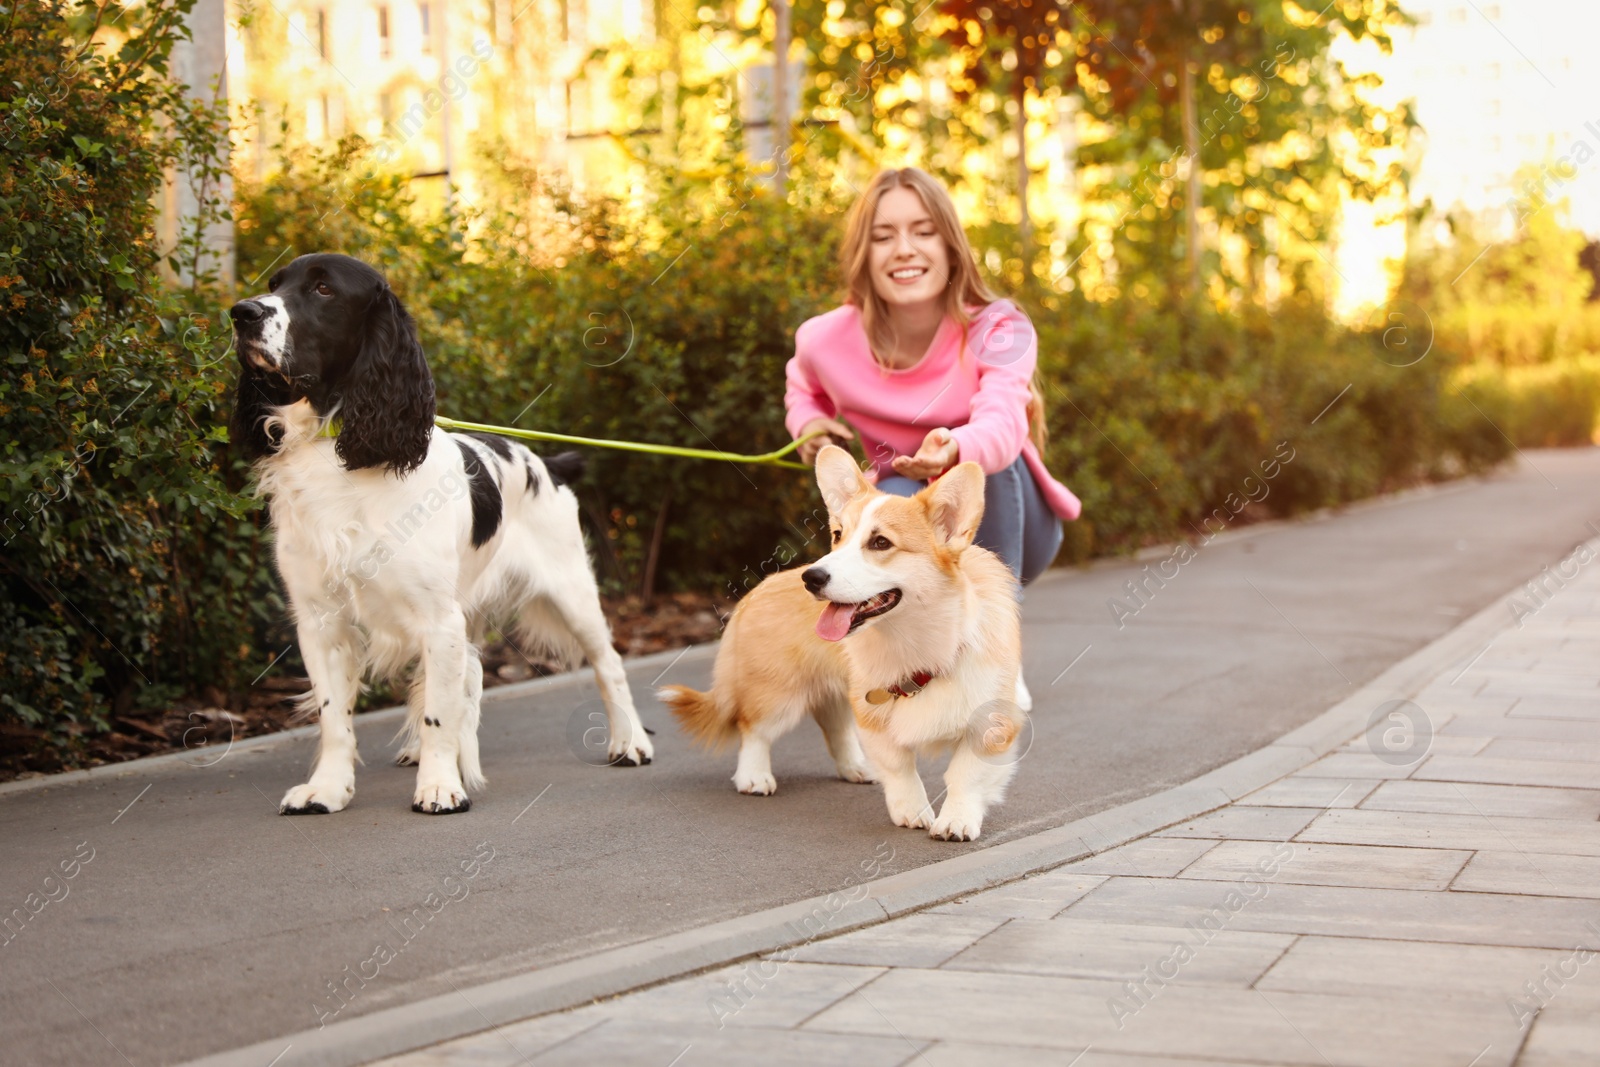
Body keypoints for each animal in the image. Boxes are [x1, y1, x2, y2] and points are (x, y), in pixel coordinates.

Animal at [230, 252, 649, 819]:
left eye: (323, 289)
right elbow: (335, 716)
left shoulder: (438, 619)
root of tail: (548, 461)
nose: (241, 312)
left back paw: (630, 742)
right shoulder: (321, 622)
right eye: (275, 283)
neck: (337, 451)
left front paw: (439, 787)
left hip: (571, 593)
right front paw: (327, 789)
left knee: (609, 664)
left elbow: (439, 714)